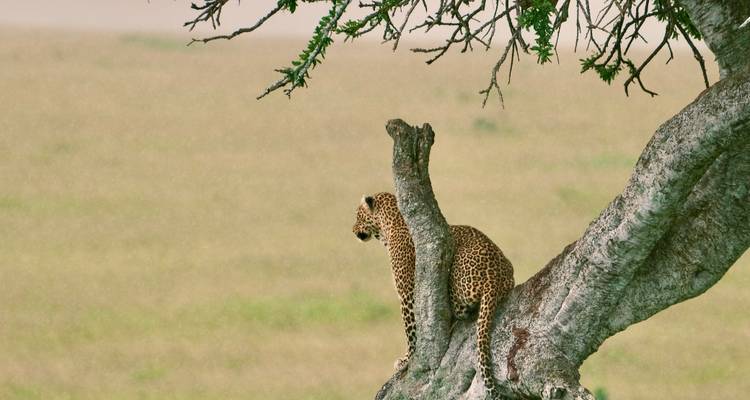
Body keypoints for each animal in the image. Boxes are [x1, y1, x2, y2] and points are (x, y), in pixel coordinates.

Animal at [352, 192, 515, 398]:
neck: (391, 225)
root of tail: (495, 278)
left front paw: (406, 360)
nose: (353, 230)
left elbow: (410, 331)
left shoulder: (407, 292)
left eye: (358, 216)